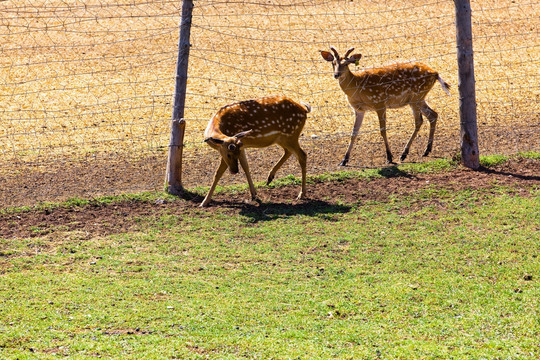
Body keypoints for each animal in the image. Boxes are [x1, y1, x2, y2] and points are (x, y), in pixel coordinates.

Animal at [320, 45, 452, 167]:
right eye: (333, 63)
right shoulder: (359, 110)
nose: (336, 75)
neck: (357, 86)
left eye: (346, 63)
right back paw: (426, 150)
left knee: (419, 121)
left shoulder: (380, 102)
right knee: (433, 115)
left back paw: (404, 154)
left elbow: (382, 130)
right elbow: (354, 133)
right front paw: (344, 160)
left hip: (416, 96)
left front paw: (389, 157)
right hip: (418, 99)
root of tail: (435, 73)